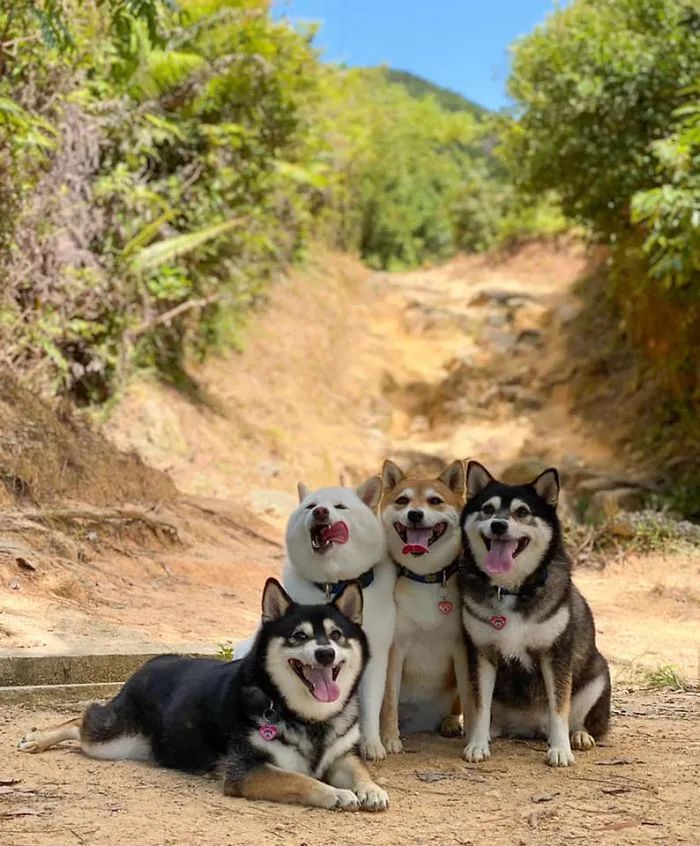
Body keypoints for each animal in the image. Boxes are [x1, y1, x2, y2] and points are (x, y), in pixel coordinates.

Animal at [378, 460, 470, 752]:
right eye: (402, 501)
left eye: (435, 501)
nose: (415, 514)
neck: (426, 578)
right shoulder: (395, 650)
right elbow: (388, 701)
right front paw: (390, 738)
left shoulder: (461, 650)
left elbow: (473, 702)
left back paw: (450, 723)